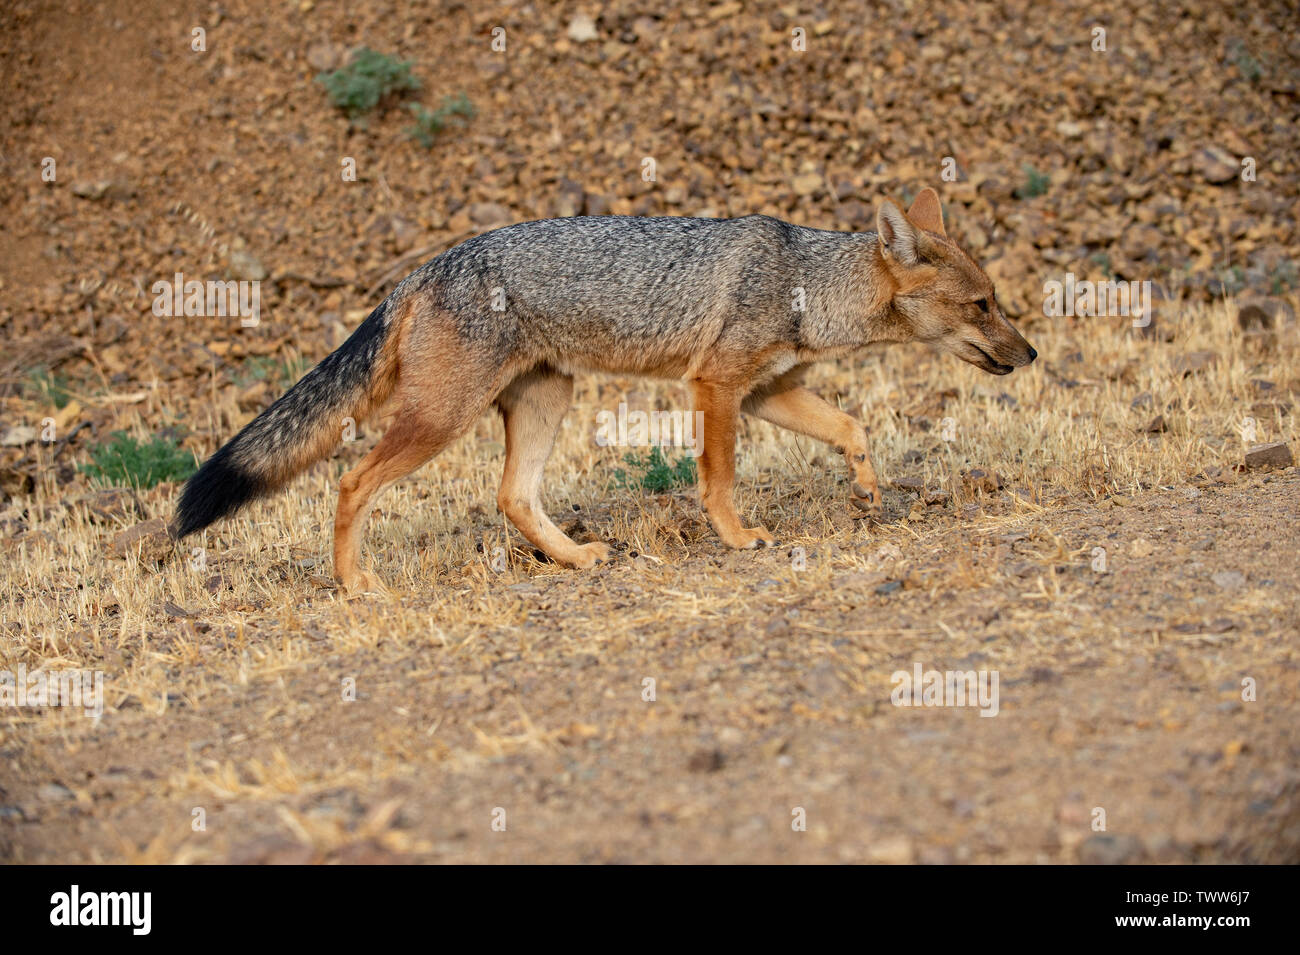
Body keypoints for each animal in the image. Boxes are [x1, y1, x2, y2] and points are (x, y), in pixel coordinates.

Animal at [172, 187, 1036, 593]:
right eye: (983, 305)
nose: (1028, 353)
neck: (804, 281)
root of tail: (420, 270)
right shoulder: (716, 385)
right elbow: (719, 477)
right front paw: (737, 538)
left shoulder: (766, 391)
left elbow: (855, 429)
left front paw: (865, 491)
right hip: (441, 419)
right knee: (353, 481)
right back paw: (356, 583)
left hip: (545, 401)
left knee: (512, 495)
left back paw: (573, 558)